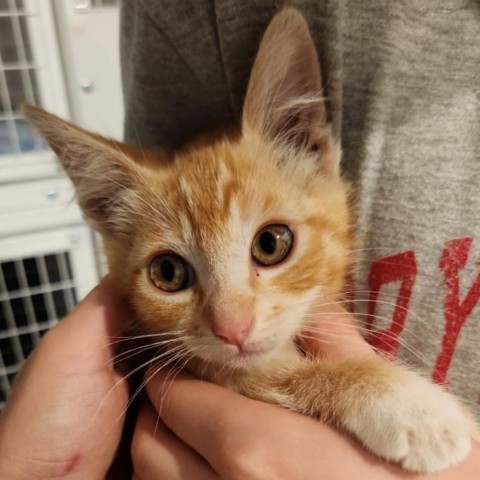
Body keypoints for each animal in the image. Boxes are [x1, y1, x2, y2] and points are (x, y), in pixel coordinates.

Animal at [23, 6, 472, 472]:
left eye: (271, 243)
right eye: (167, 272)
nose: (232, 329)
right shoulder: (211, 370)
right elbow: (278, 374)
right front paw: (406, 404)